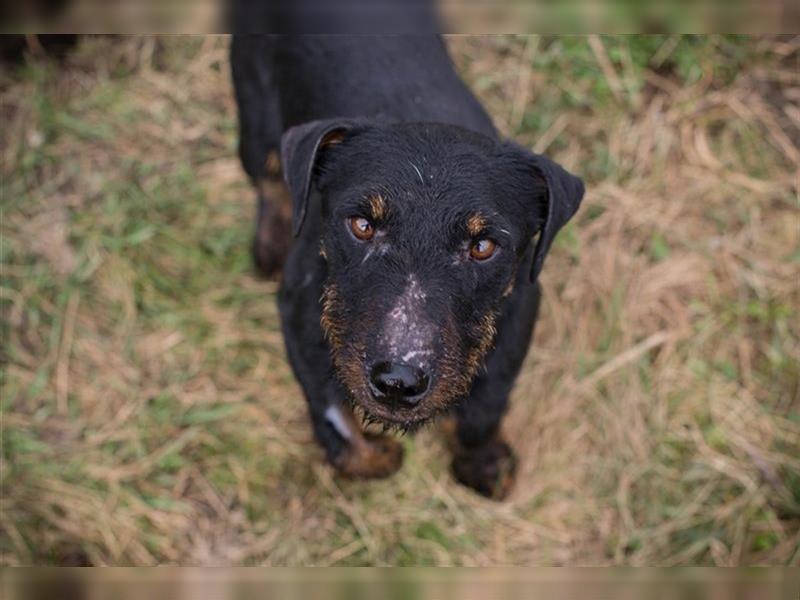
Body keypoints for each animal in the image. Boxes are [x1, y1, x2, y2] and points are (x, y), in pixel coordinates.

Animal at [230, 35, 580, 500]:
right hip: (254, 118)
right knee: (268, 174)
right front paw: (383, 454)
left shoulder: (522, 307)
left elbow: (485, 407)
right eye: (362, 225)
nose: (397, 382)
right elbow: (339, 426)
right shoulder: (296, 309)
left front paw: (485, 464)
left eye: (483, 246)